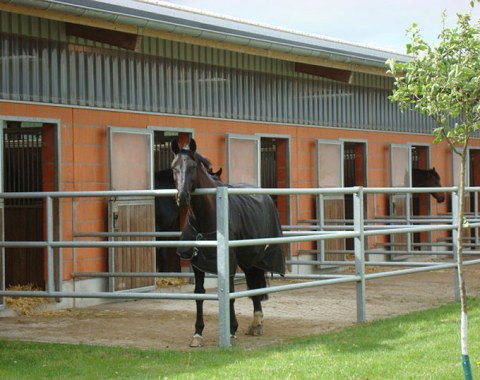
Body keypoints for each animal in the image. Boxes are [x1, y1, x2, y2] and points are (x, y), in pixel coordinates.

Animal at [171, 140, 284, 348]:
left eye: (192, 167)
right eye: (174, 167)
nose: (182, 197)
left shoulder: (229, 263)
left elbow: (230, 293)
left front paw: (231, 330)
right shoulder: (196, 263)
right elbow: (199, 294)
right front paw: (197, 333)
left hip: (255, 256)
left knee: (255, 285)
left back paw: (257, 323)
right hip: (247, 259)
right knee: (253, 283)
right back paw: (255, 323)